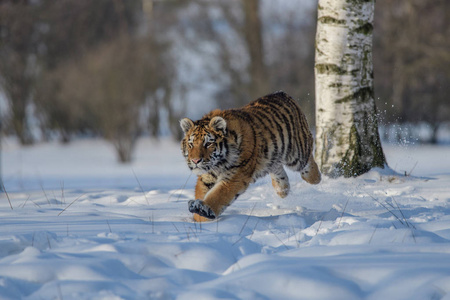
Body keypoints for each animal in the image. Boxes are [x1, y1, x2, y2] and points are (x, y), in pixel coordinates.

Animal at [179, 92, 320, 223]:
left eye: (208, 144)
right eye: (191, 144)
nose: (195, 161)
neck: (217, 164)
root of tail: (282, 93)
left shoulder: (235, 176)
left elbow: (218, 195)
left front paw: (203, 209)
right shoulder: (207, 177)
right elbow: (201, 192)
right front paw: (199, 220)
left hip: (297, 153)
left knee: (308, 161)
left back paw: (315, 178)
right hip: (273, 156)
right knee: (277, 169)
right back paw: (282, 190)